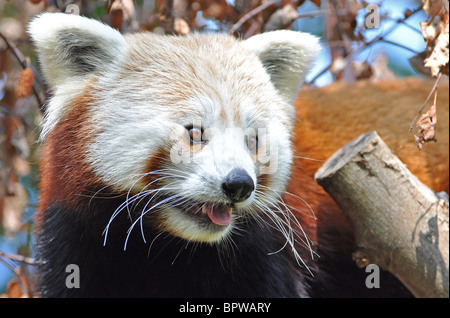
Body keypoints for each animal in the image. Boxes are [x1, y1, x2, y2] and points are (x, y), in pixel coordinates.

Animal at [29, 11, 448, 296]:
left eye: (253, 139)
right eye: (195, 132)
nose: (239, 185)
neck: (170, 247)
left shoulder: (270, 250)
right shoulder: (78, 241)